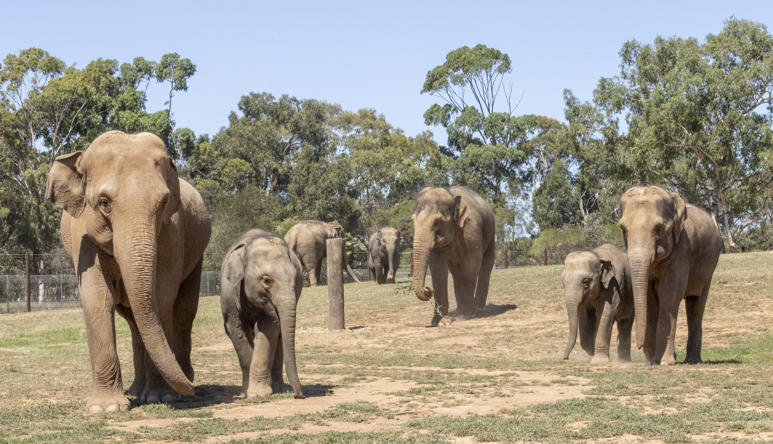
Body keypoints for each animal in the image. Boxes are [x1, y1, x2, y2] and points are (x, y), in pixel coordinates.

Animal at [45, 131, 210, 413]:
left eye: (164, 202)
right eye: (103, 202)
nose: (189, 387)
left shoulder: (172, 232)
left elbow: (161, 297)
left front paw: (160, 398)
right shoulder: (82, 239)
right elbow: (97, 298)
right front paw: (106, 409)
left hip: (196, 255)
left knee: (184, 311)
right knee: (135, 322)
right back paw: (138, 389)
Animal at [220, 228, 304, 399]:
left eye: (296, 278)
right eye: (267, 280)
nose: (299, 395)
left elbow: (269, 327)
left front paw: (258, 393)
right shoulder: (229, 295)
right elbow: (235, 328)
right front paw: (247, 392)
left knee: (280, 336)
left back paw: (278, 388)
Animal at [412, 186, 495, 326]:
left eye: (437, 222)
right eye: (413, 221)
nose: (428, 289)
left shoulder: (471, 231)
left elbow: (472, 265)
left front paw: (465, 316)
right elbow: (438, 269)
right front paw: (440, 321)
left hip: (491, 233)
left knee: (486, 265)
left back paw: (478, 309)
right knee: (456, 273)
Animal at [619, 186, 722, 365]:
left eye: (659, 228)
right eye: (623, 229)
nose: (639, 347)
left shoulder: (682, 248)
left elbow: (670, 293)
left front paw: (665, 362)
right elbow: (649, 297)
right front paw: (654, 361)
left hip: (709, 268)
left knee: (697, 303)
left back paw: (692, 361)